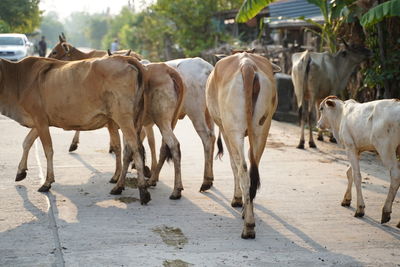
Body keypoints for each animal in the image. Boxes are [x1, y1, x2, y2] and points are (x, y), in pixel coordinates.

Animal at [0, 55, 152, 205]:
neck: (19, 78)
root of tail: (125, 58)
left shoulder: (40, 120)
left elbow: (48, 150)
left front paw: (47, 182)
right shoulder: (41, 121)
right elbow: (27, 142)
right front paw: (21, 172)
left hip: (123, 118)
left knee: (136, 149)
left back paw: (143, 191)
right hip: (134, 120)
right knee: (129, 151)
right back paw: (118, 186)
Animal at [206, 51, 278, 239]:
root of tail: (247, 64)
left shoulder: (225, 130)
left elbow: (234, 164)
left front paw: (237, 199)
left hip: (234, 130)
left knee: (243, 168)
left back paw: (249, 226)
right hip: (262, 129)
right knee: (254, 167)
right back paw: (248, 213)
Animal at [318, 96, 400, 228]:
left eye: (321, 108)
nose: (318, 123)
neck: (341, 114)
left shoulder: (350, 146)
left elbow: (357, 176)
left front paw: (360, 209)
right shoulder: (357, 149)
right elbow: (349, 173)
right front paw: (346, 200)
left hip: (385, 149)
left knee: (396, 175)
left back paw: (386, 212)